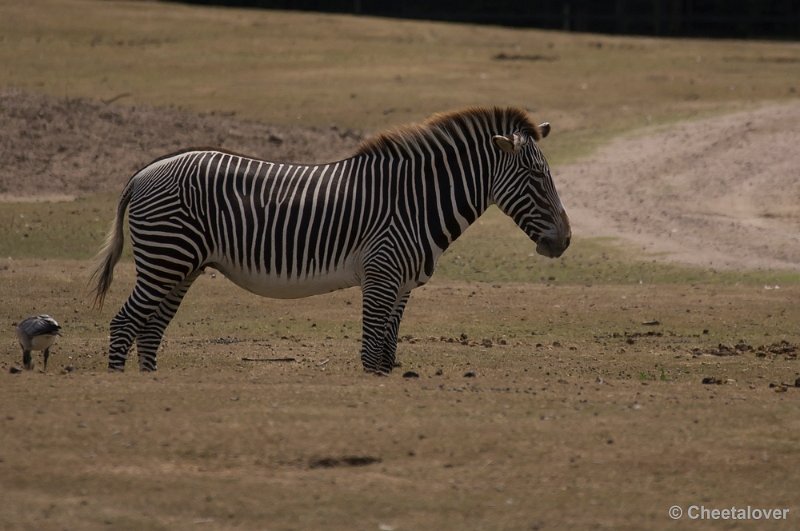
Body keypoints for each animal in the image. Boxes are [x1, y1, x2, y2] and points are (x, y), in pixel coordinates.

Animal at [90, 107, 572, 374]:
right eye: (536, 176)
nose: (565, 241)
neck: (416, 201)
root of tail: (143, 172)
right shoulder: (380, 276)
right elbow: (371, 353)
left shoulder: (401, 287)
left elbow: (387, 355)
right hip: (164, 260)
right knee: (125, 324)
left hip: (181, 267)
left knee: (150, 330)